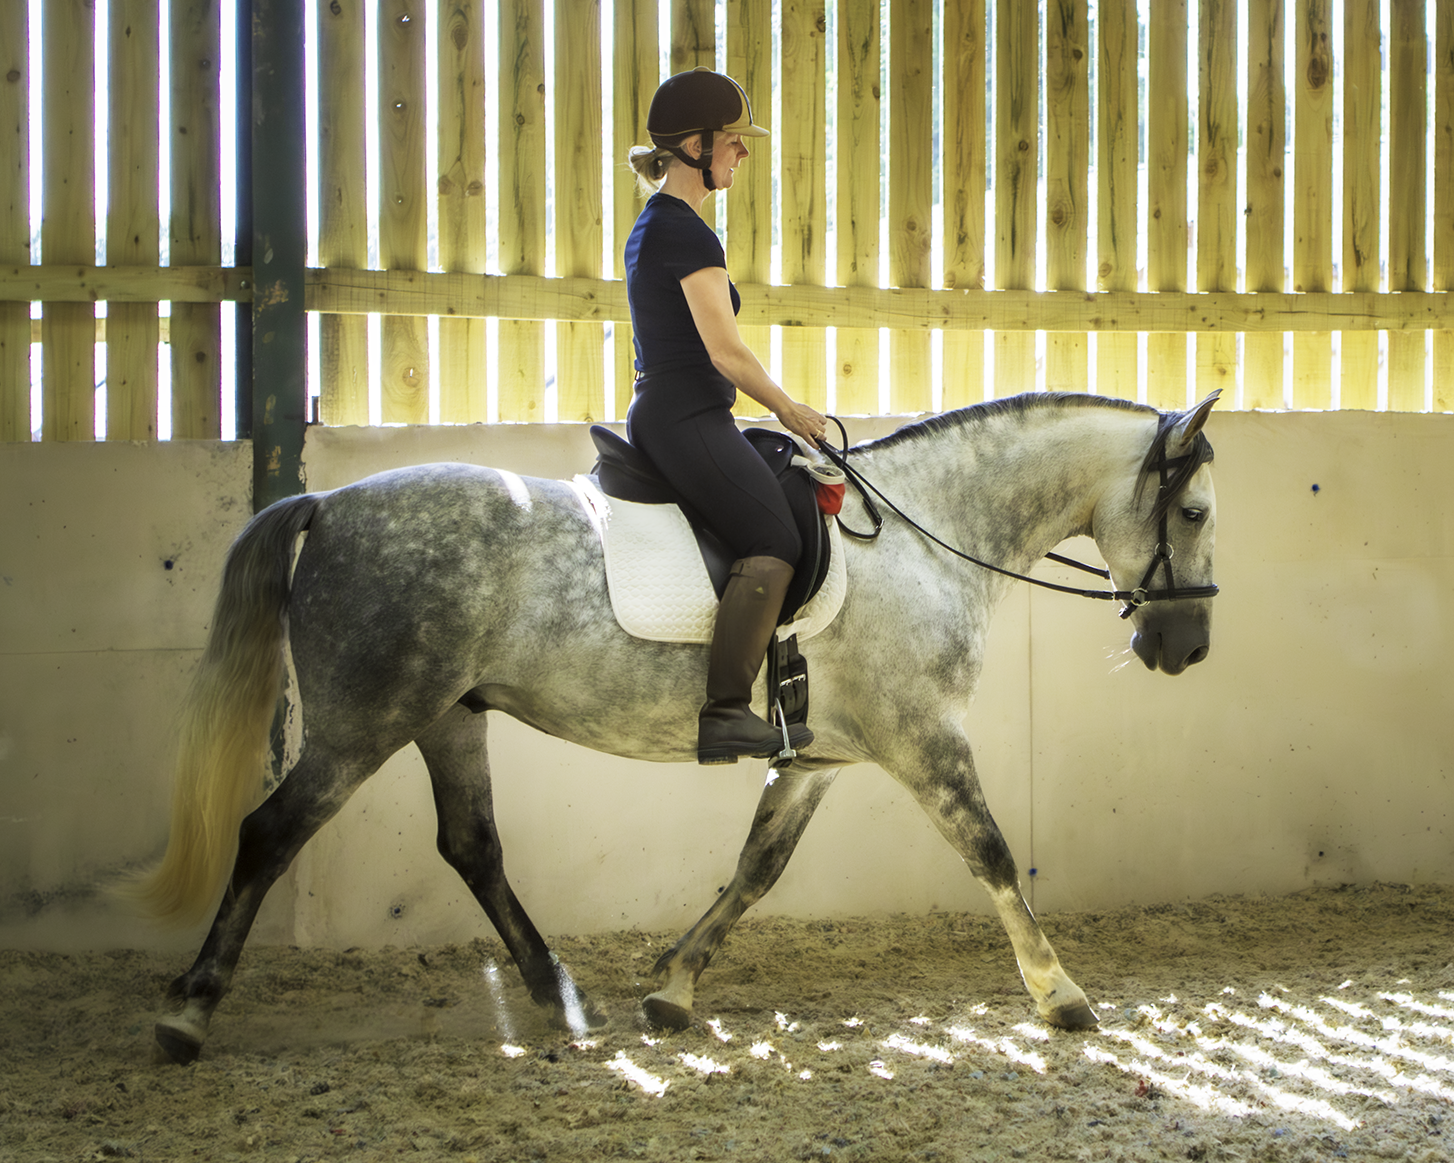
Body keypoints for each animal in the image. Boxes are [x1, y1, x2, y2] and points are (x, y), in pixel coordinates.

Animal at [133, 389, 1220, 1064]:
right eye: (1197, 511)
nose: (1187, 646)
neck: (926, 537)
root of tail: (325, 501)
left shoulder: (819, 758)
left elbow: (756, 867)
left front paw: (672, 989)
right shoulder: (923, 738)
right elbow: (991, 852)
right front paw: (1061, 994)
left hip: (446, 715)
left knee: (472, 845)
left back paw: (557, 993)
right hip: (367, 719)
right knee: (271, 832)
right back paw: (187, 1012)